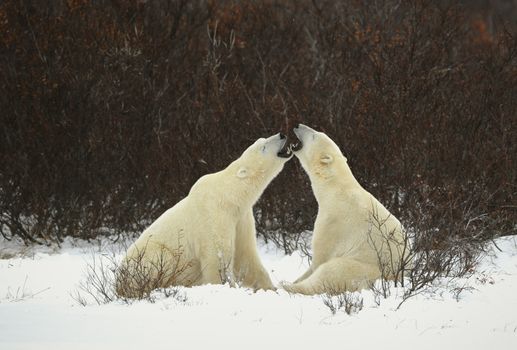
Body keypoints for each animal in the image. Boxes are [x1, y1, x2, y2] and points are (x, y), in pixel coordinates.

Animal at [117, 133, 292, 296]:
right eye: (263, 147)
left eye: (263, 139)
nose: (282, 134)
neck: (230, 194)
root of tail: (119, 283)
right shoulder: (214, 214)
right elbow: (217, 256)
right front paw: (225, 286)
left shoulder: (241, 217)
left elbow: (245, 256)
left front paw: (272, 288)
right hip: (150, 258)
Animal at [282, 124, 408, 294]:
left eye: (314, 135)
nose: (297, 125)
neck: (336, 188)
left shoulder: (333, 221)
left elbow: (319, 259)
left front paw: (296, 280)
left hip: (361, 268)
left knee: (330, 272)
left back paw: (285, 285)